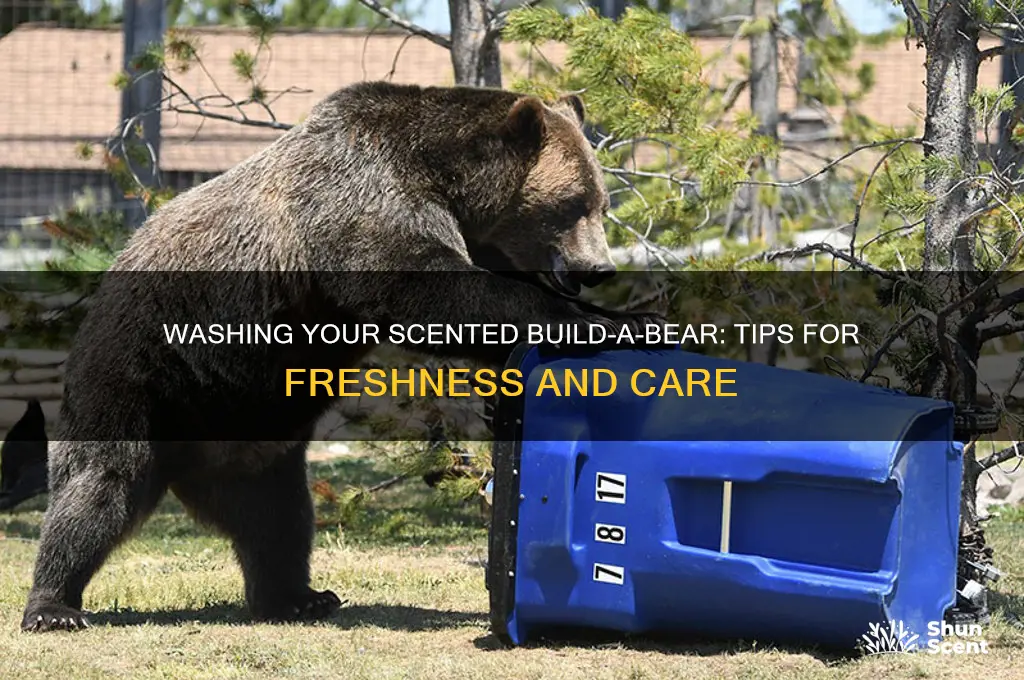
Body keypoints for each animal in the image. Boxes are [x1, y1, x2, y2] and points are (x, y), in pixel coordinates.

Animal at [20, 81, 660, 632]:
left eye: (602, 202)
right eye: (574, 204)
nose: (600, 268)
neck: (445, 179)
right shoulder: (362, 200)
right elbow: (432, 290)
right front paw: (611, 323)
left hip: (252, 430)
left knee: (278, 517)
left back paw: (297, 596)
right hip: (141, 371)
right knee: (101, 482)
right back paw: (54, 605)